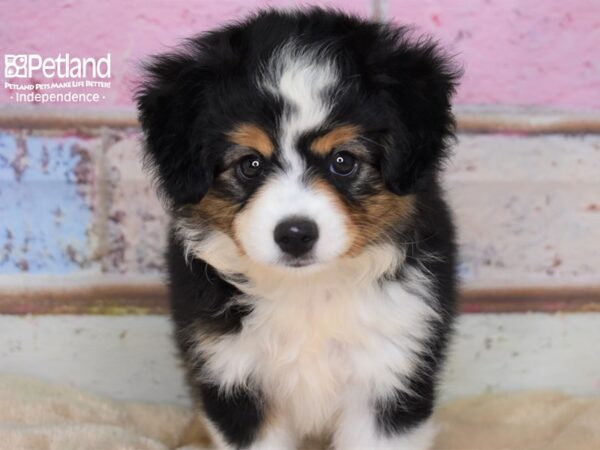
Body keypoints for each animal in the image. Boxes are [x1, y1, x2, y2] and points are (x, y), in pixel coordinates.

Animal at [136, 7, 460, 450]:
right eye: (250, 164)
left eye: (344, 161)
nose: (295, 235)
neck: (307, 293)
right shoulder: (234, 375)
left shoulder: (391, 372)